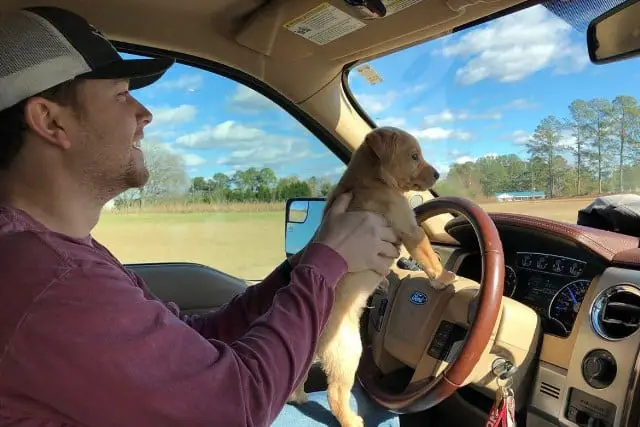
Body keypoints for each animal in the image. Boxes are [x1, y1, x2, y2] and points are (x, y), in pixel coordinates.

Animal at [288, 126, 458, 427]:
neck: (371, 177)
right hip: (348, 351)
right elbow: (427, 255)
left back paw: (299, 397)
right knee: (335, 394)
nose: (438, 175)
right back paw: (351, 420)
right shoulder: (410, 228)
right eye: (414, 156)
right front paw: (444, 276)